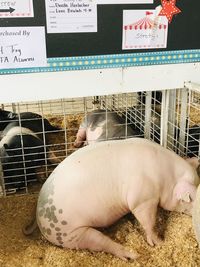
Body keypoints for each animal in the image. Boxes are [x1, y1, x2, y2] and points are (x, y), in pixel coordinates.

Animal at [34, 139, 200, 260]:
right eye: (191, 200)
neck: (166, 178)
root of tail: (40, 221)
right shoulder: (142, 199)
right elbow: (148, 221)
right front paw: (159, 242)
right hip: (71, 235)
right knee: (100, 242)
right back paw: (133, 255)